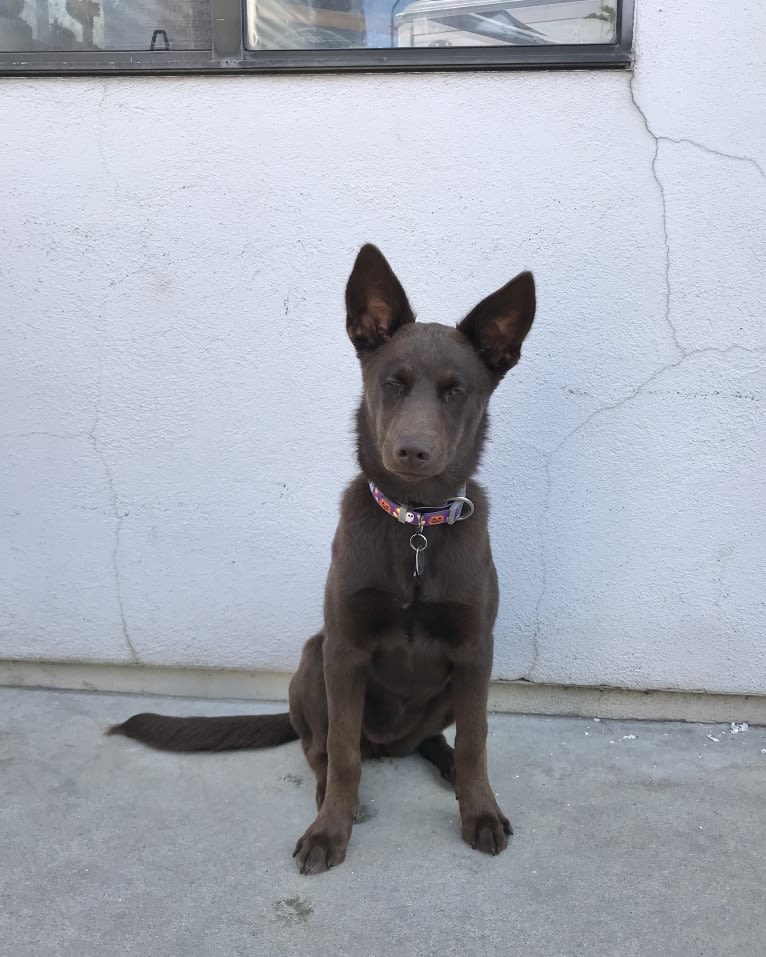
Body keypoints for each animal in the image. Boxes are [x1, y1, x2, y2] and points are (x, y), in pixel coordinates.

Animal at [111, 245, 536, 872]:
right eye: (393, 383)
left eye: (456, 391)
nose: (413, 451)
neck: (415, 528)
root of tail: (391, 744)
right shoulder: (344, 651)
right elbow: (341, 754)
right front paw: (330, 830)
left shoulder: (475, 652)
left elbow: (477, 742)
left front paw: (479, 810)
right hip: (313, 660)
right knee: (323, 749)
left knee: (436, 741)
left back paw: (446, 771)